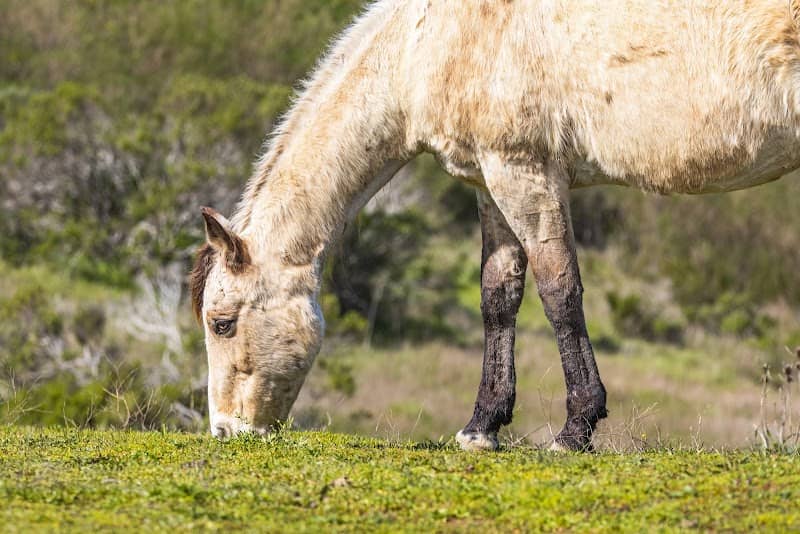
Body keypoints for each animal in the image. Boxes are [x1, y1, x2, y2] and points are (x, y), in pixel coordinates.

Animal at [191, 0, 800, 451]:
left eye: (222, 323)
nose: (226, 430)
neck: (425, 44)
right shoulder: (489, 181)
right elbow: (498, 296)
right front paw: (482, 426)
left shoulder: (523, 172)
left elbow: (559, 291)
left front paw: (575, 431)